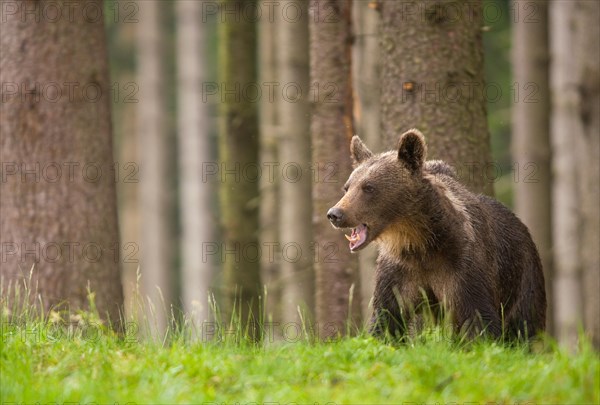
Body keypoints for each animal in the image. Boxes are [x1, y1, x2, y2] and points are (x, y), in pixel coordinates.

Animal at [326, 129, 548, 338]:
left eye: (368, 187)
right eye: (347, 187)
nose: (335, 214)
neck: (418, 242)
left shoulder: (463, 268)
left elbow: (478, 319)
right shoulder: (398, 273)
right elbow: (387, 319)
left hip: (523, 276)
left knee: (524, 324)